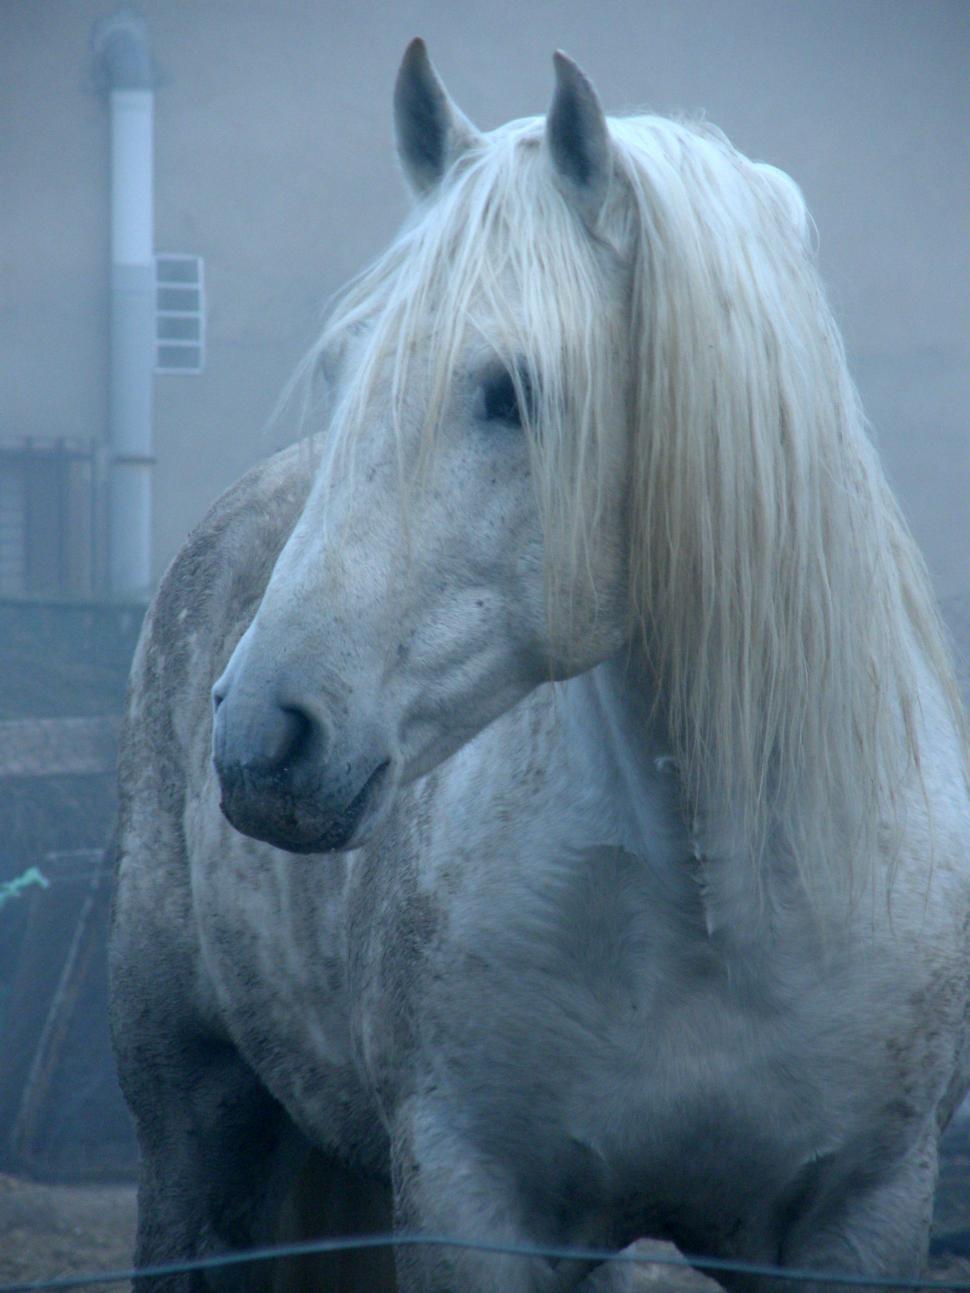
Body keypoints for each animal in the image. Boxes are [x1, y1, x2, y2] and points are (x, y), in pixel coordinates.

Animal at [111, 40, 970, 1293]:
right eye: (342, 364)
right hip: (193, 1121)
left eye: (510, 392)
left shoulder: (860, 1216)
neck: (718, 906)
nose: (262, 739)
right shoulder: (475, 1203)